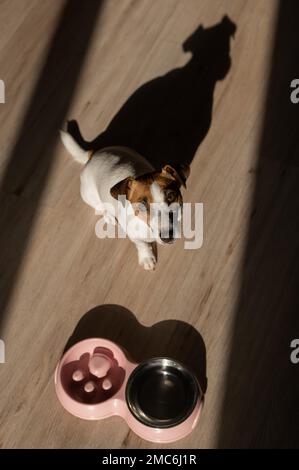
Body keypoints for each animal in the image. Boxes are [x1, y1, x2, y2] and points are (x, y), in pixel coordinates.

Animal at [59, 130, 190, 272]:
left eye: (171, 196)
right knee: (99, 207)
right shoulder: (133, 235)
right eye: (142, 205)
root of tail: (93, 156)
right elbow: (142, 245)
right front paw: (146, 257)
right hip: (88, 194)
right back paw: (108, 216)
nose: (167, 237)